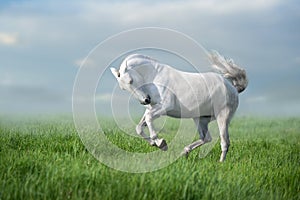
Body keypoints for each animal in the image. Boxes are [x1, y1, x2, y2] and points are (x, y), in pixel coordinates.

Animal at [109, 50, 246, 162]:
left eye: (131, 81)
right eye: (123, 88)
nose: (145, 100)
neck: (155, 77)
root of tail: (232, 88)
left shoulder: (165, 106)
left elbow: (148, 119)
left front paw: (160, 143)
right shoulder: (152, 108)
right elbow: (139, 127)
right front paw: (155, 143)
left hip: (222, 117)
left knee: (224, 142)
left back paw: (220, 163)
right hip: (200, 119)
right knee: (206, 138)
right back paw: (184, 152)